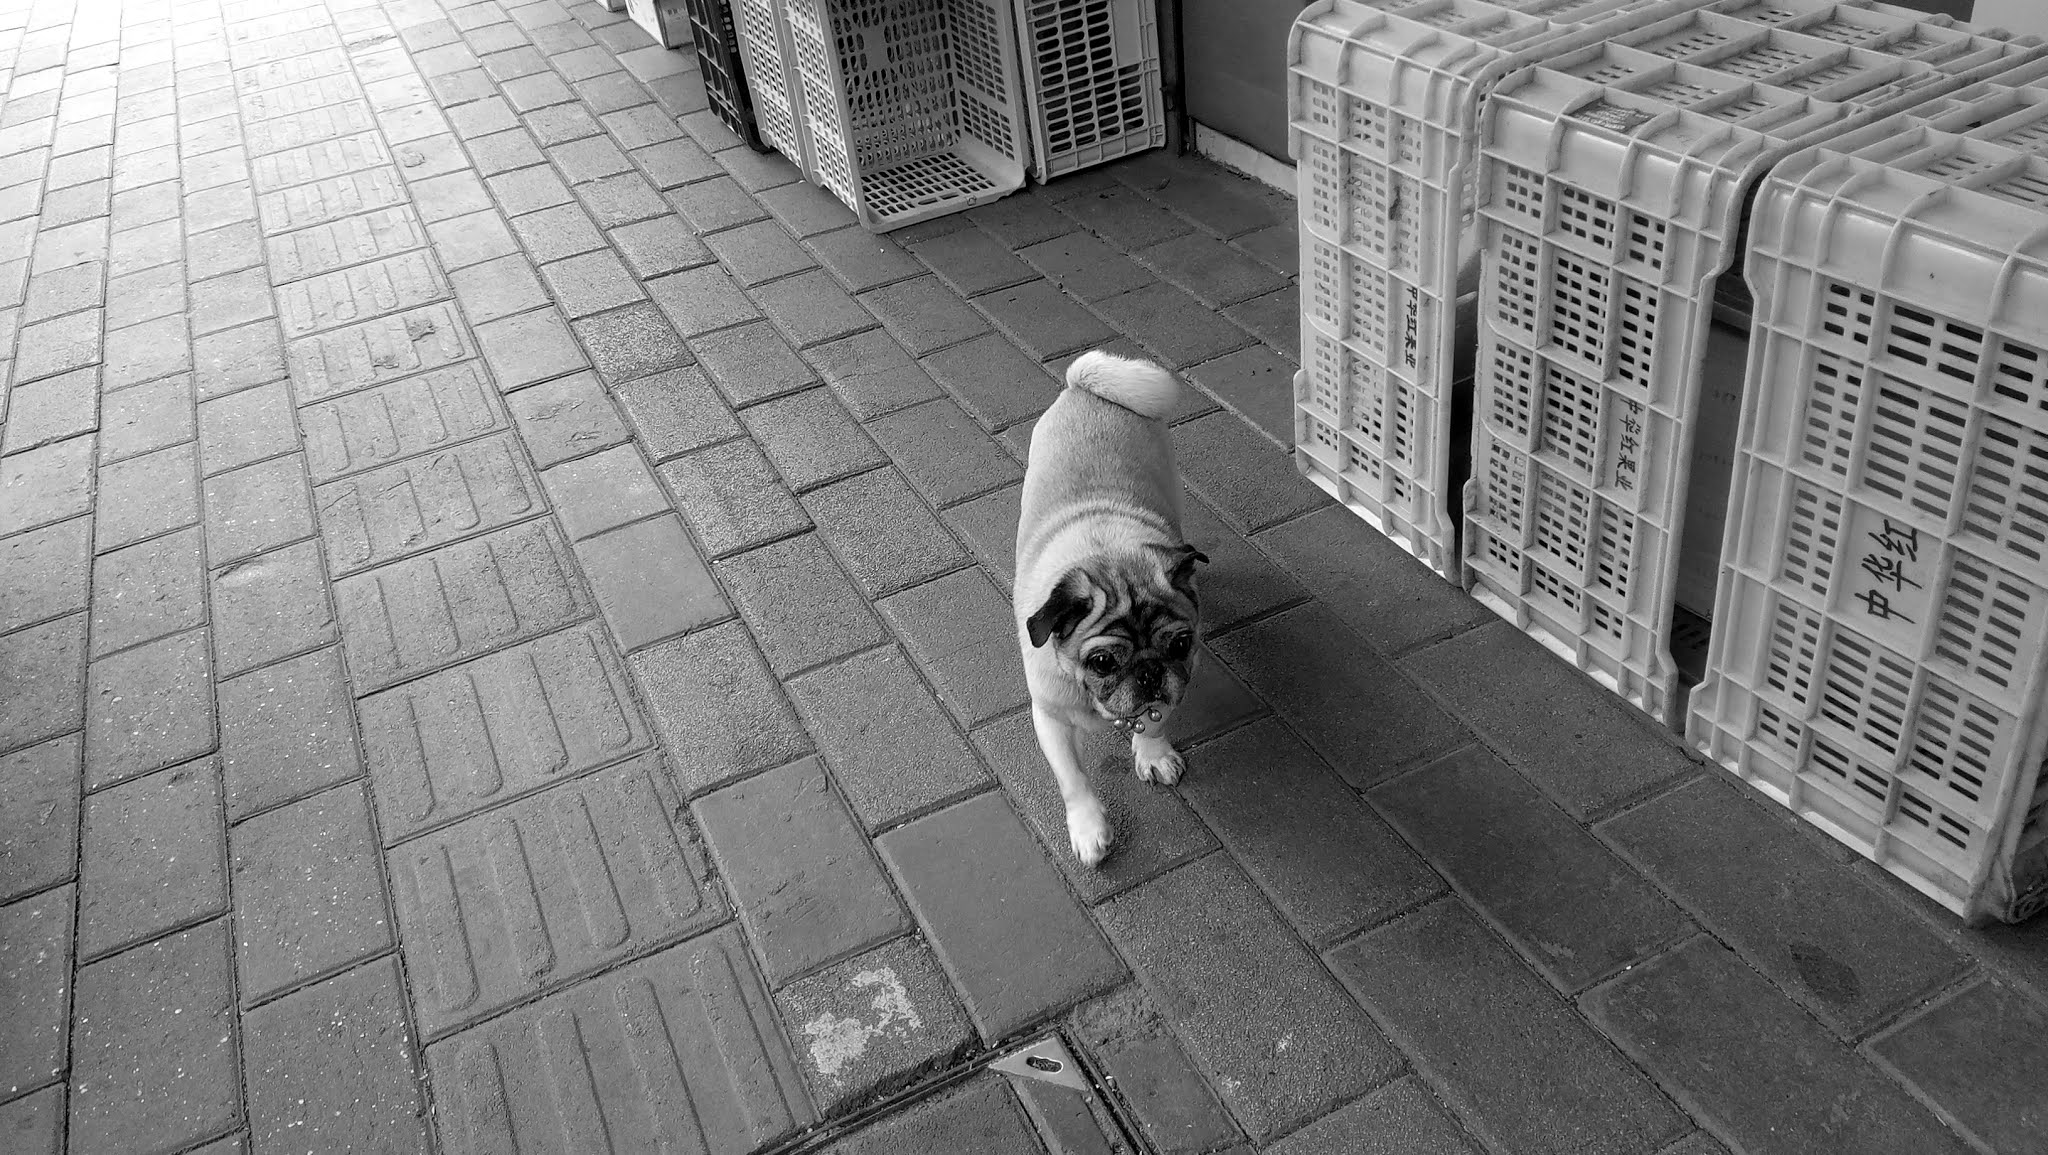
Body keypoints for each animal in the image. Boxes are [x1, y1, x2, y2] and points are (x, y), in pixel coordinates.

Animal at [1015, 350, 1207, 867]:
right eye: (1102, 660)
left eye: (1181, 645)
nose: (1149, 670)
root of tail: (1085, 388)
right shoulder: (1050, 718)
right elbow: (1073, 779)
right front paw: (1088, 827)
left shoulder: (1169, 689)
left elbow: (1156, 718)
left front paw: (1153, 753)